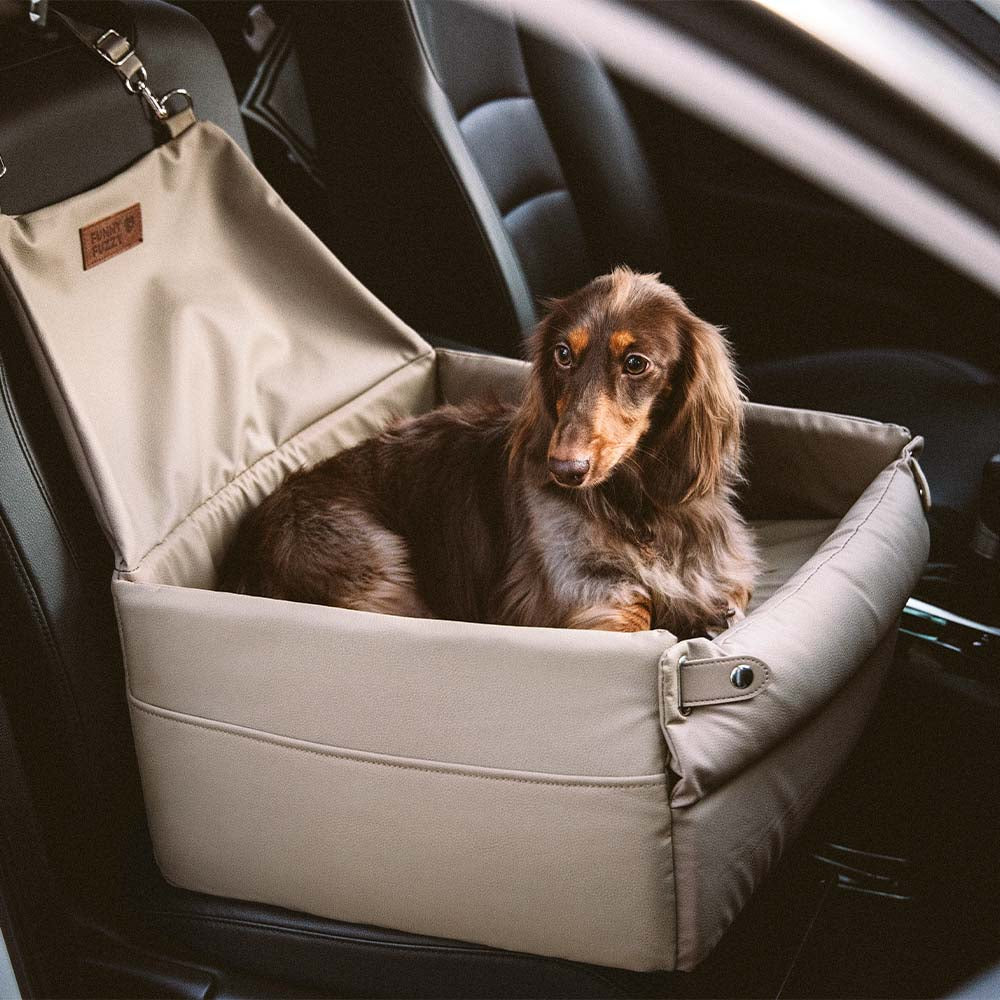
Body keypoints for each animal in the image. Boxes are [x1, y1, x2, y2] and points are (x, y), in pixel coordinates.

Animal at [223, 268, 756, 632]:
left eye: (636, 363)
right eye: (563, 354)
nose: (564, 468)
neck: (635, 507)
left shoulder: (728, 581)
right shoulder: (588, 603)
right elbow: (637, 614)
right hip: (377, 570)